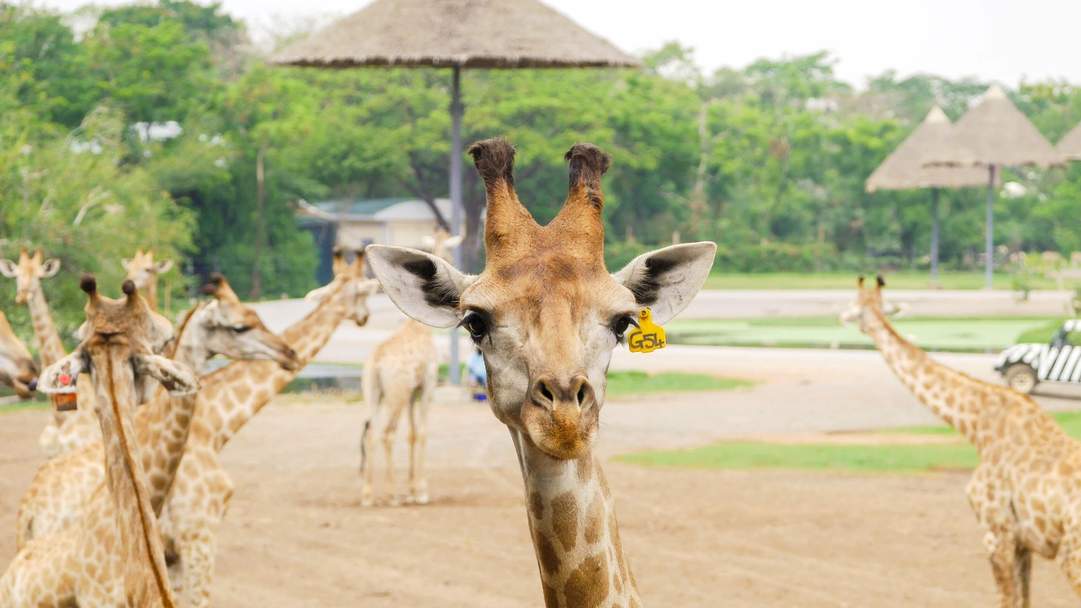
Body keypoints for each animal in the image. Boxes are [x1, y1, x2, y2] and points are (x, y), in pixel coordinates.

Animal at [843, 275, 1081, 605]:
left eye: (855, 307)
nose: (841, 317)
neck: (977, 427)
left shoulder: (995, 532)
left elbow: (1006, 599)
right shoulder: (1022, 540)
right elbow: (1023, 599)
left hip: (1072, 554)